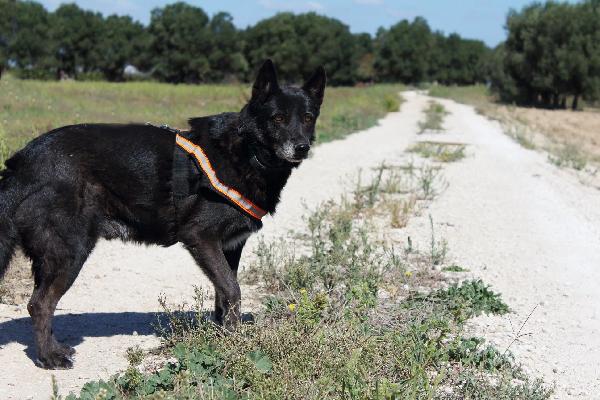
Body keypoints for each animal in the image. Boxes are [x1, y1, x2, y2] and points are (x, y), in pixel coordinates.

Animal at [0, 60, 326, 368]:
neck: (247, 151)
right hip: (70, 251)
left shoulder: (230, 247)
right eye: (278, 118)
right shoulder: (201, 238)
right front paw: (235, 344)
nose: (302, 147)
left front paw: (223, 337)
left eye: (308, 118)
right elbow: (233, 291)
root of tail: (23, 163)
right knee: (40, 304)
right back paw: (49, 358)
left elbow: (223, 295)